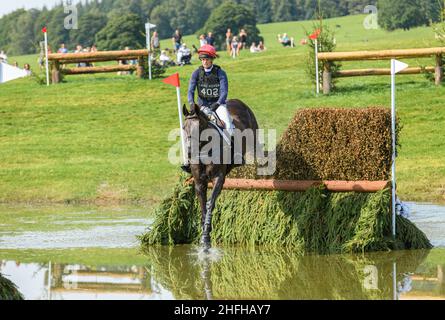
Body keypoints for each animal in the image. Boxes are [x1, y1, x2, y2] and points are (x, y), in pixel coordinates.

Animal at [181, 99, 258, 251]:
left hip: (254, 143)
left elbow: (210, 204)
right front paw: (204, 234)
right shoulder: (199, 182)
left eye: (199, 127)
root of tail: (238, 102)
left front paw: (206, 236)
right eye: (184, 127)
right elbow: (203, 206)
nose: (190, 153)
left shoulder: (218, 179)